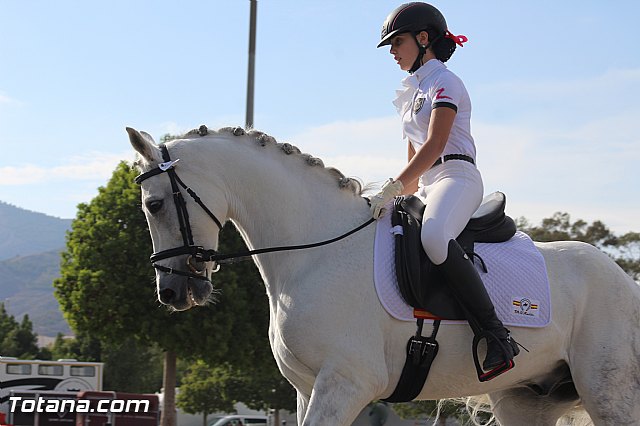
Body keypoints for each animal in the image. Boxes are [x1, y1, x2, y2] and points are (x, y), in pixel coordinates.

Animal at [127, 126, 640, 426]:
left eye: (154, 204)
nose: (171, 291)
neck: (316, 251)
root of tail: (625, 281)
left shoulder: (346, 383)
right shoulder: (307, 388)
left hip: (608, 392)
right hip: (525, 399)